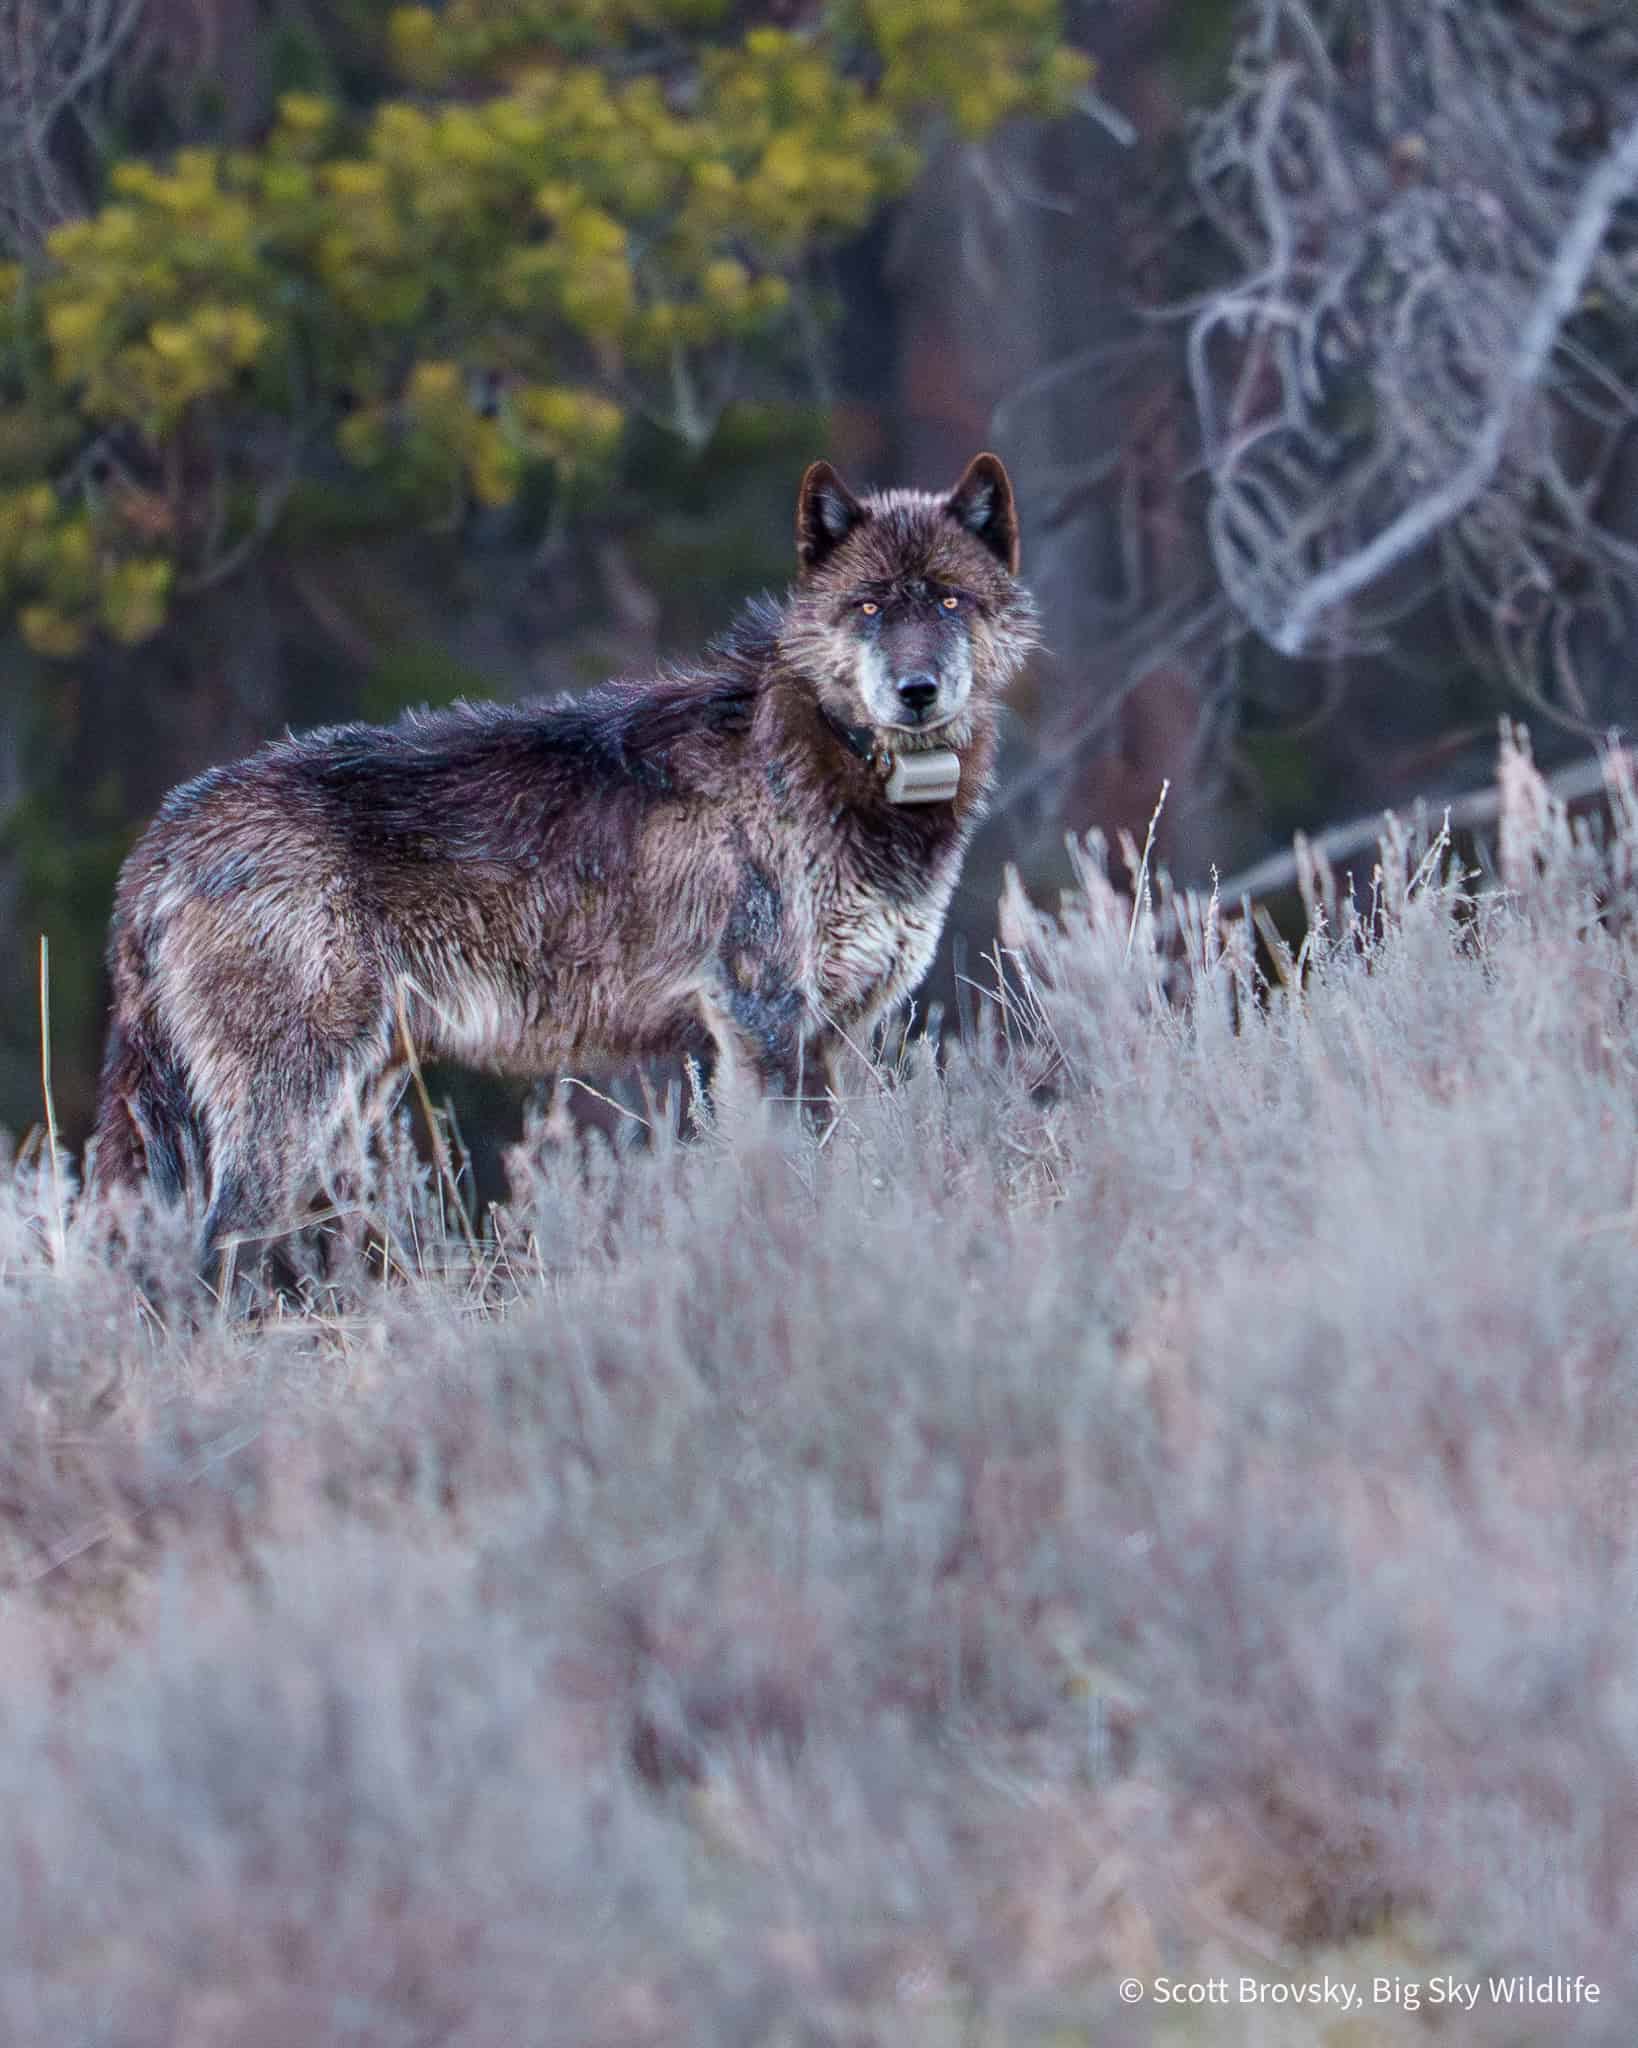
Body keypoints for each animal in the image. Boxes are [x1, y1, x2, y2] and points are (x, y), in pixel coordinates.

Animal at [89, 452, 1037, 1281]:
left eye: (949, 600)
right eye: (870, 607)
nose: (916, 691)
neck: (833, 760)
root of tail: (166, 832)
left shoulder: (841, 1033)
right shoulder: (760, 1020)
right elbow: (790, 1179)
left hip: (348, 1104)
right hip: (292, 1108)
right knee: (218, 1247)